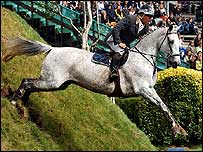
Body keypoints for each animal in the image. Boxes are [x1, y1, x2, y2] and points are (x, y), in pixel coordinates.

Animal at [1, 24, 187, 135]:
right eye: (171, 41)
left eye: (180, 42)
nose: (176, 63)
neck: (143, 58)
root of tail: (53, 48)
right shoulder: (143, 89)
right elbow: (163, 105)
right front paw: (177, 129)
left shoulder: (147, 90)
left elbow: (163, 105)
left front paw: (178, 128)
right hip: (51, 81)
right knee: (27, 82)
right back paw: (14, 101)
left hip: (57, 84)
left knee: (31, 85)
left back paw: (23, 104)